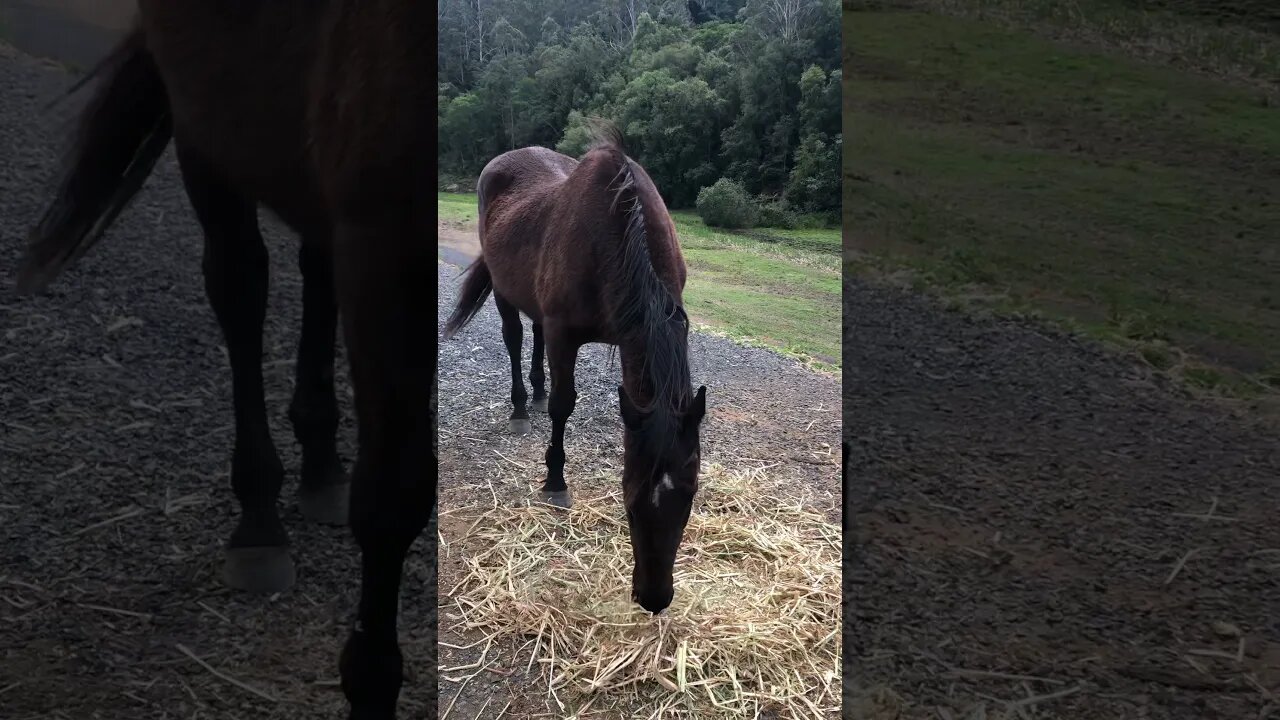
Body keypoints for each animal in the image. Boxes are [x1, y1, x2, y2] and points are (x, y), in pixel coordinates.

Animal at [12, 2, 435, 712]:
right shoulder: (385, 254)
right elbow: (393, 499)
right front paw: (371, 682)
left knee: (313, 266)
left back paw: (321, 463)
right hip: (205, 131)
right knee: (240, 287)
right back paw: (259, 517)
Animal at [442, 128, 706, 609]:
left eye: (690, 497)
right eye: (629, 500)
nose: (654, 597)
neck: (620, 237)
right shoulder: (565, 334)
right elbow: (564, 406)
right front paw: (555, 480)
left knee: (534, 336)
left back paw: (536, 391)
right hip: (506, 292)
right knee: (514, 339)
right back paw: (521, 407)